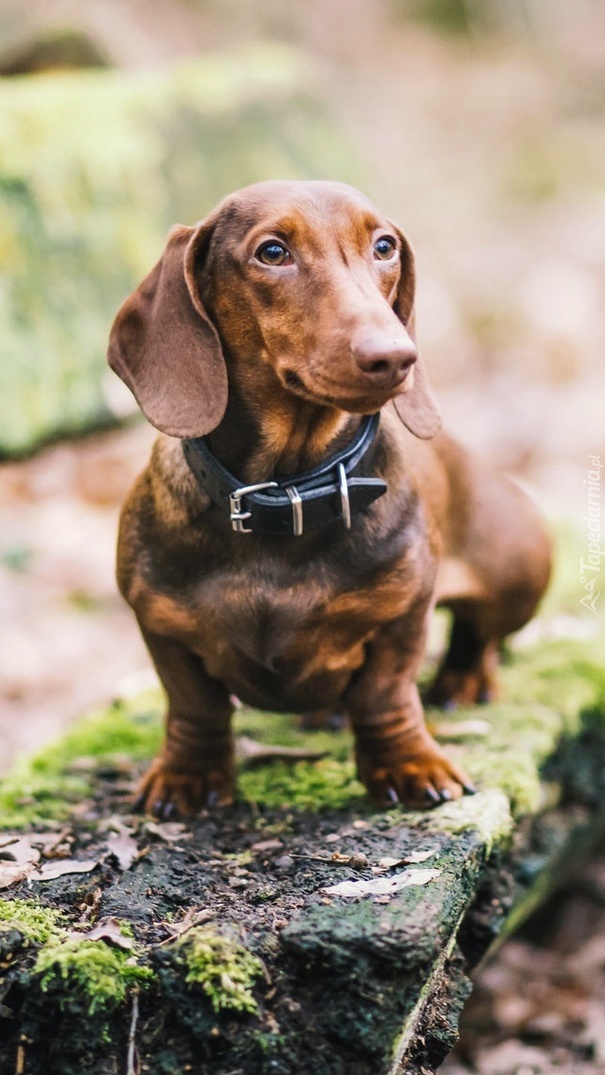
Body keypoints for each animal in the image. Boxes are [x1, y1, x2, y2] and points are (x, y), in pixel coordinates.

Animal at [106, 178, 550, 812]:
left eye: (385, 246)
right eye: (272, 252)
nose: (397, 356)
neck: (289, 493)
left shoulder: (403, 613)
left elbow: (386, 694)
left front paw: (409, 764)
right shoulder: (161, 624)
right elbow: (194, 706)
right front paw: (187, 774)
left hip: (519, 574)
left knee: (480, 634)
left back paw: (464, 681)